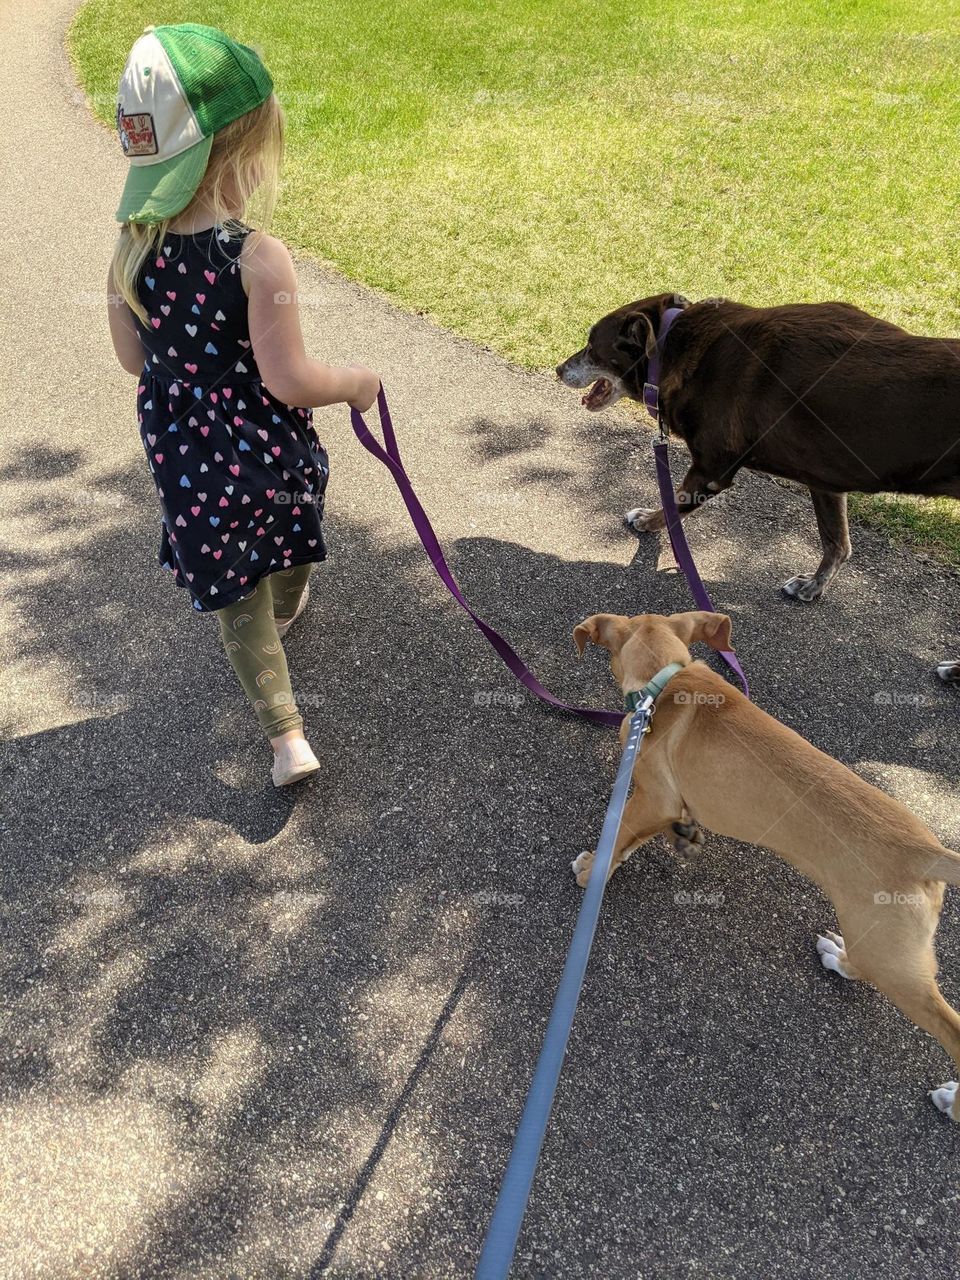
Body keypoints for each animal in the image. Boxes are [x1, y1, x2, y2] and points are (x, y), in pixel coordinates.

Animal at [576, 609, 960, 1121]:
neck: (666, 680)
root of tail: (925, 853)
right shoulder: (665, 804)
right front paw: (681, 836)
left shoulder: (651, 796)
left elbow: (619, 834)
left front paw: (593, 869)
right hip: (882, 943)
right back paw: (838, 956)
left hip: (890, 953)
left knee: (949, 1026)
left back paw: (952, 1101)